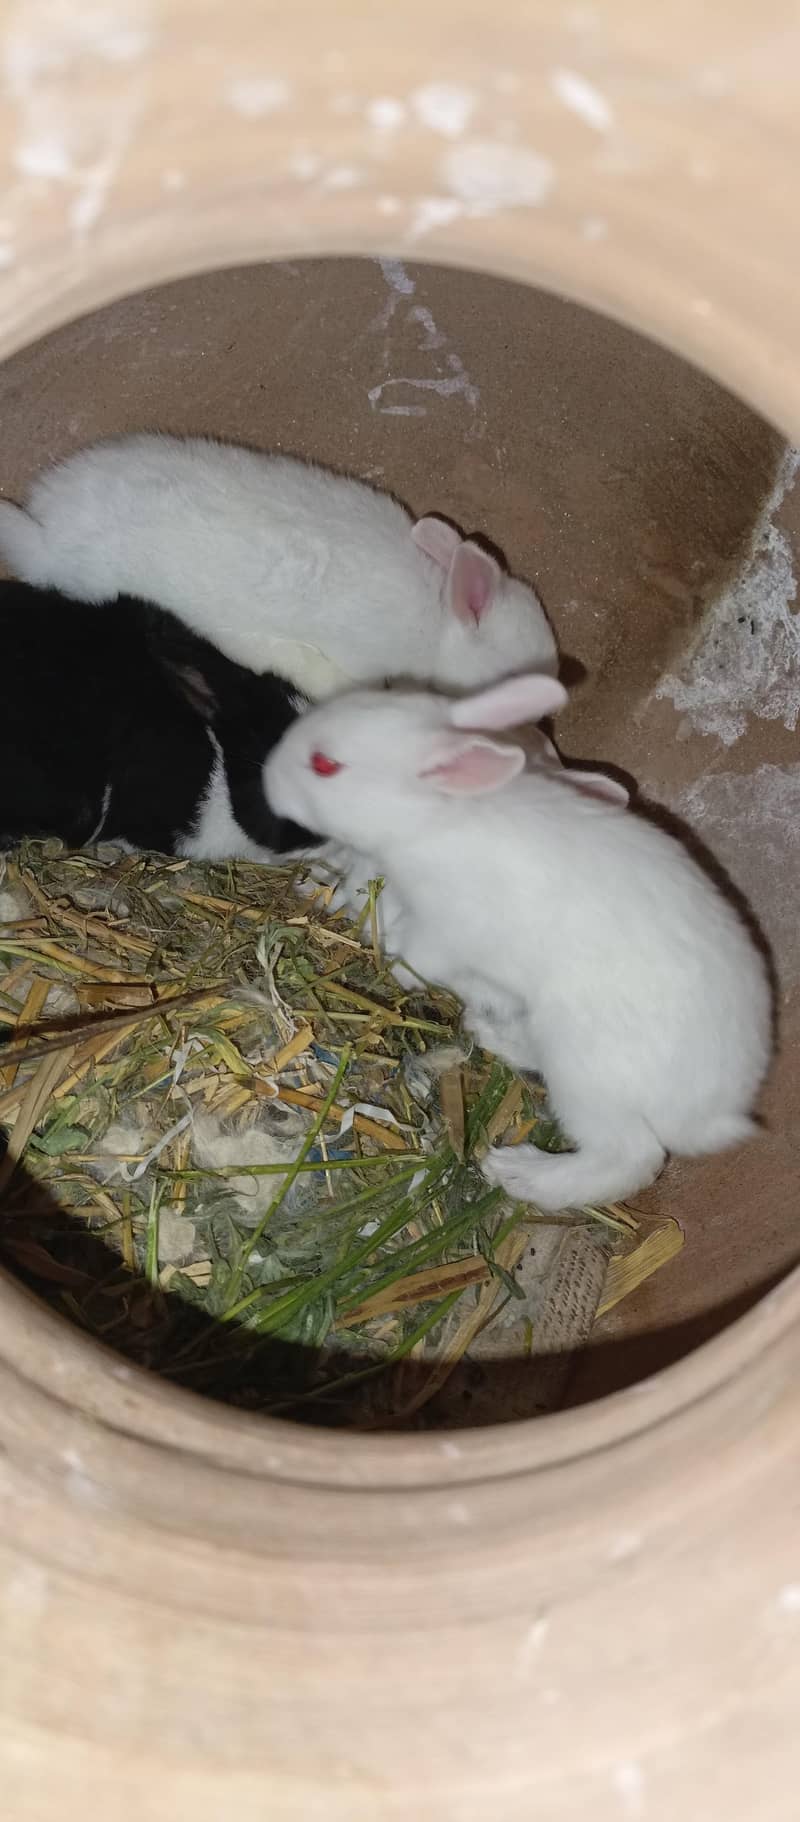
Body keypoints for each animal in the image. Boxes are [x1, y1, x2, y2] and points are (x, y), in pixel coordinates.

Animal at [264, 672, 773, 1211]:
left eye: (325, 765)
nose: (267, 775)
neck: (437, 820)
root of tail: (713, 1111)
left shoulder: (447, 927)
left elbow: (416, 953)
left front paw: (394, 968)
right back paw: (487, 1032)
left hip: (586, 1075)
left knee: (629, 1159)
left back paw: (516, 1171)